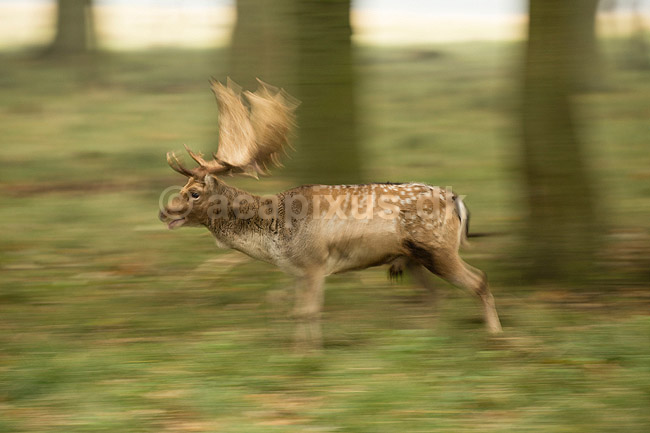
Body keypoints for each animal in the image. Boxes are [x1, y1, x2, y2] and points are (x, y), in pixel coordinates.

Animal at [159, 79, 502, 349]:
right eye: (183, 186)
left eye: (194, 192)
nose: (164, 211)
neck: (274, 237)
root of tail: (455, 199)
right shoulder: (299, 269)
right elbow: (291, 308)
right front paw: (302, 349)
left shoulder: (313, 261)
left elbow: (306, 311)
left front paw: (307, 355)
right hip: (413, 258)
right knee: (433, 296)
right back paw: (426, 338)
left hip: (439, 249)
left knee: (479, 280)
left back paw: (495, 336)